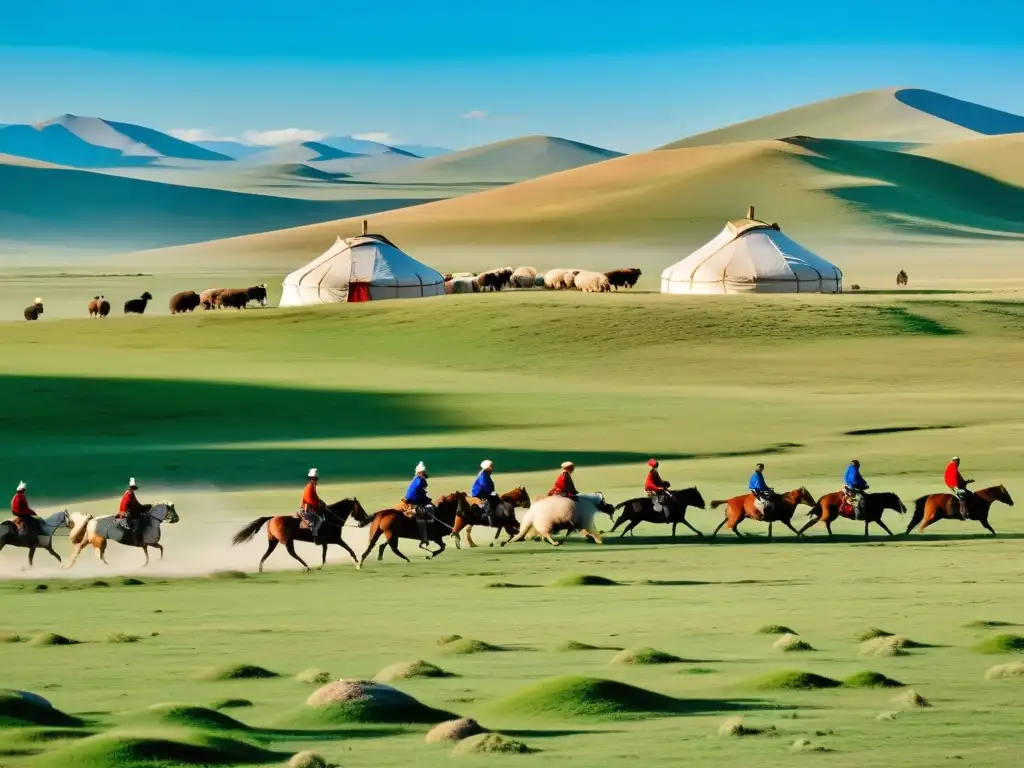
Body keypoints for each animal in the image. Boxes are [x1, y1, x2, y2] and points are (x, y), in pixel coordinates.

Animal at [232, 499, 372, 573]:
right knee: (292, 553)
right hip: (287, 541)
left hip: (273, 541)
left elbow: (324, 554)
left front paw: (321, 566)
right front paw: (358, 563)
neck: (331, 518)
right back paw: (306, 566)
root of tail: (272, 518)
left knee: (267, 553)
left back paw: (261, 569)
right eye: (360, 508)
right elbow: (349, 549)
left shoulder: (326, 542)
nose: (367, 519)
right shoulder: (336, 540)